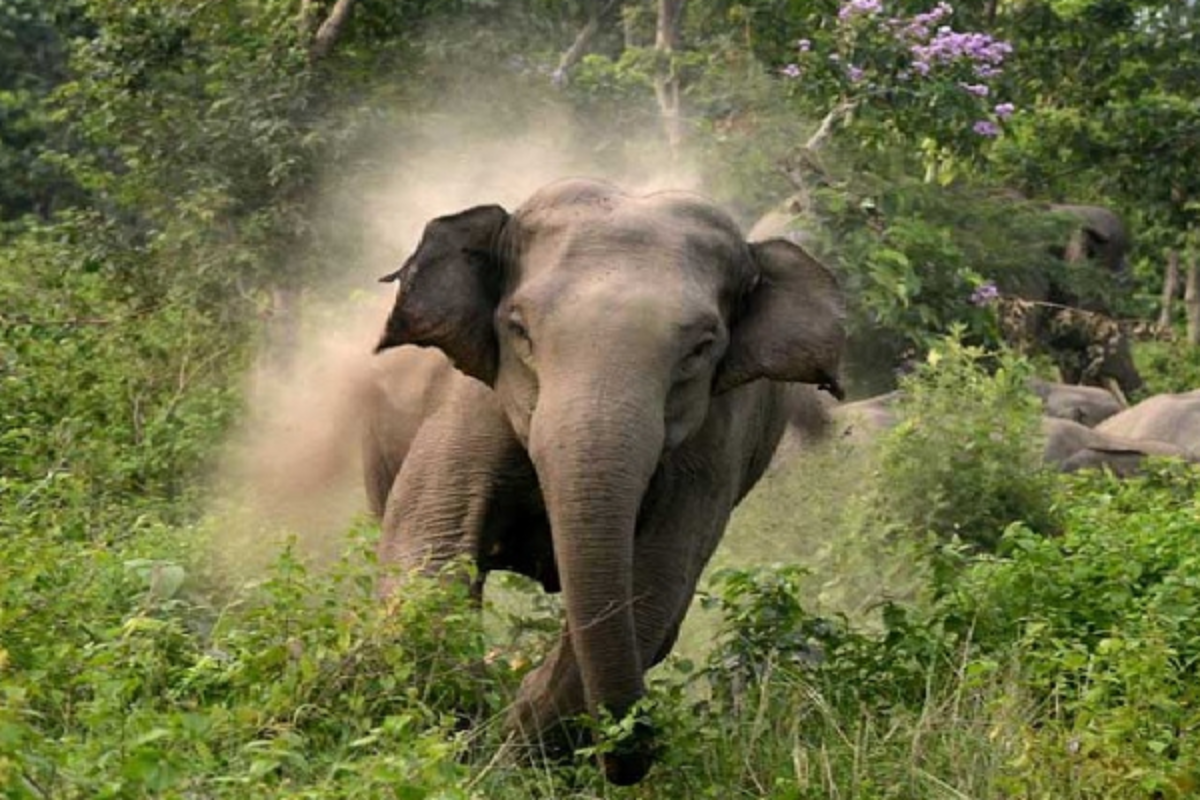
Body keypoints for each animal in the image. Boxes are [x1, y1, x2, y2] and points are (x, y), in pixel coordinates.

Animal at [367, 178, 845, 785]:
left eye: (701, 347)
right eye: (518, 329)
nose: (636, 757)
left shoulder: (714, 445)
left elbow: (654, 588)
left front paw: (516, 747)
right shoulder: (469, 401)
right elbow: (430, 546)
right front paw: (465, 731)